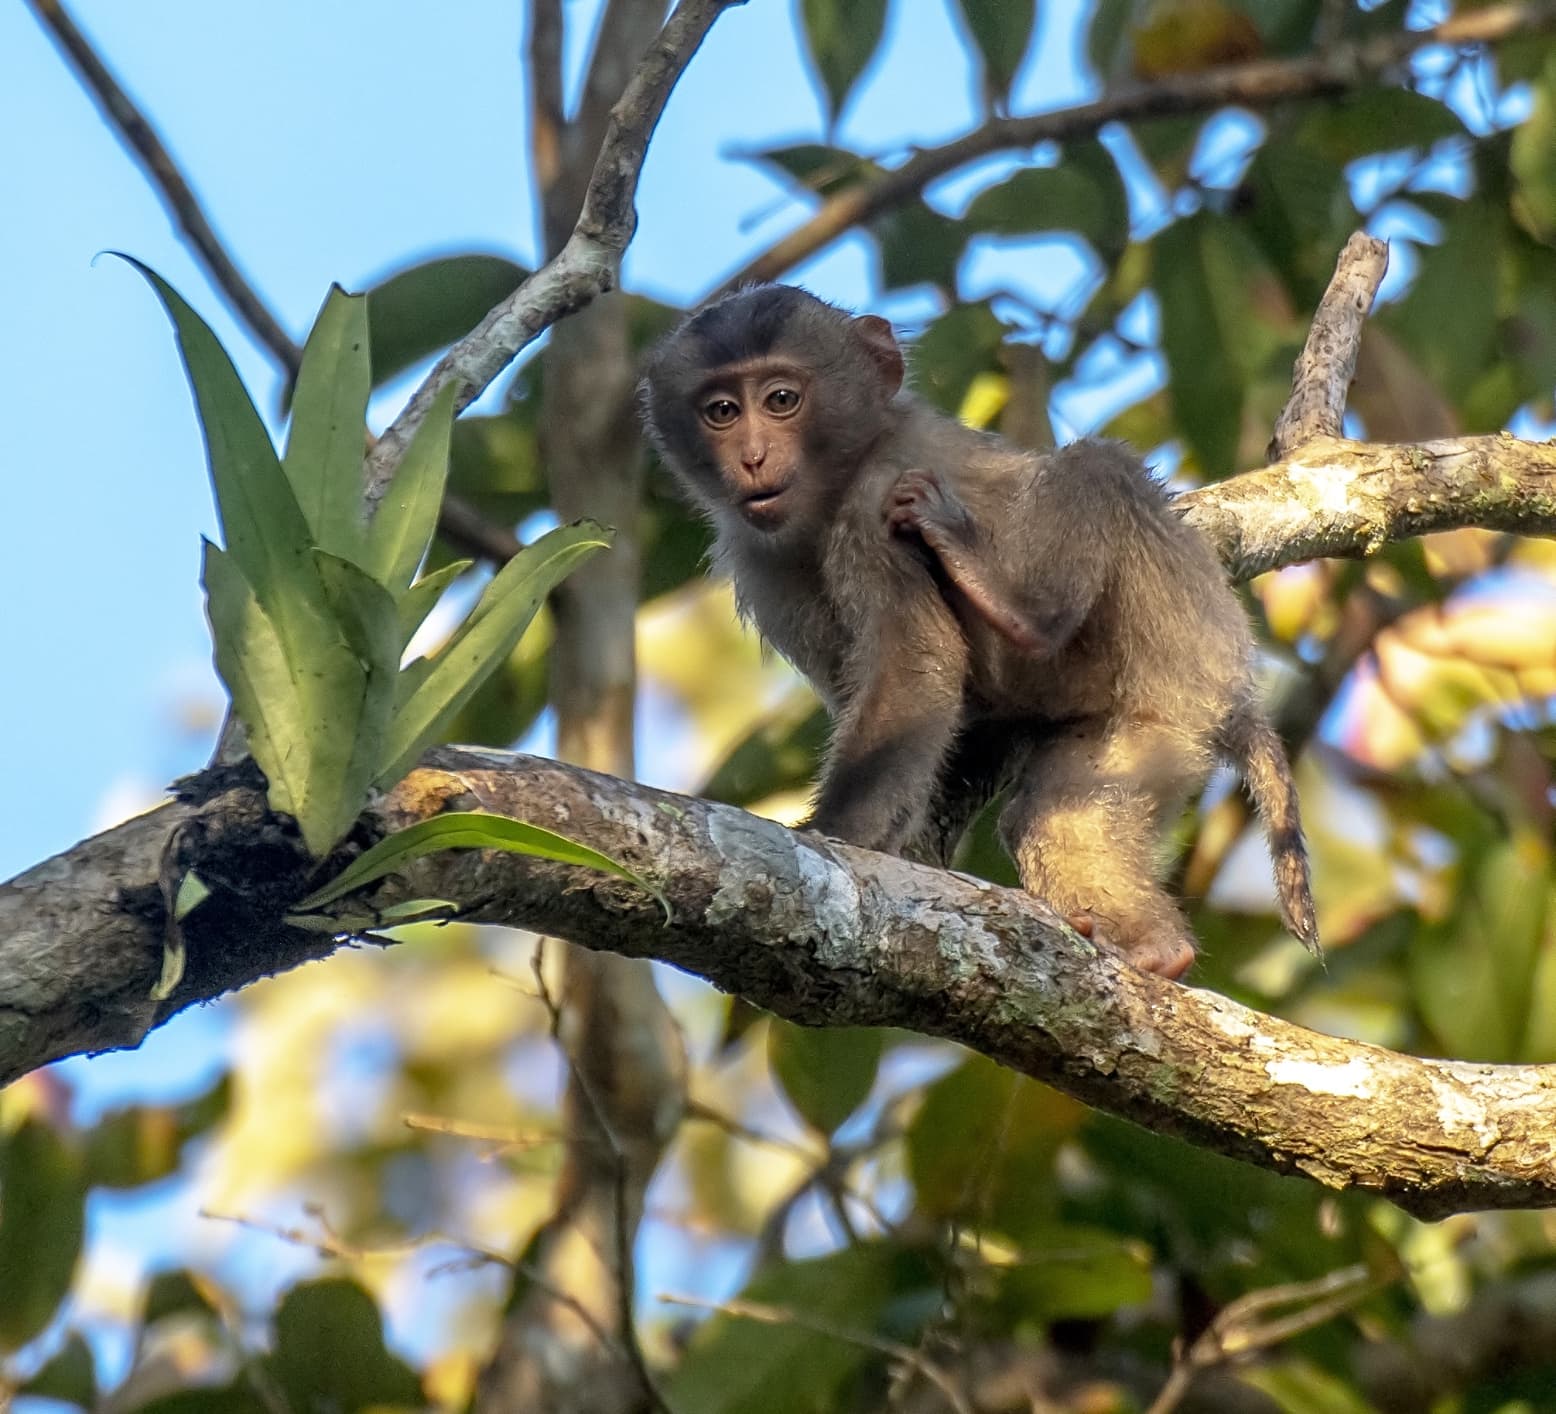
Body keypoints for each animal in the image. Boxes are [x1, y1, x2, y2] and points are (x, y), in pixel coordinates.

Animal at [639, 284, 1317, 979]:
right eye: (722, 411)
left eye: (781, 400)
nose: (752, 457)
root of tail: (1236, 692)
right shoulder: (758, 564)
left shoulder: (874, 505)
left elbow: (914, 673)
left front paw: (835, 833)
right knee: (1055, 815)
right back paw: (1158, 948)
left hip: (1182, 640)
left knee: (1097, 464)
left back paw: (1024, 606)